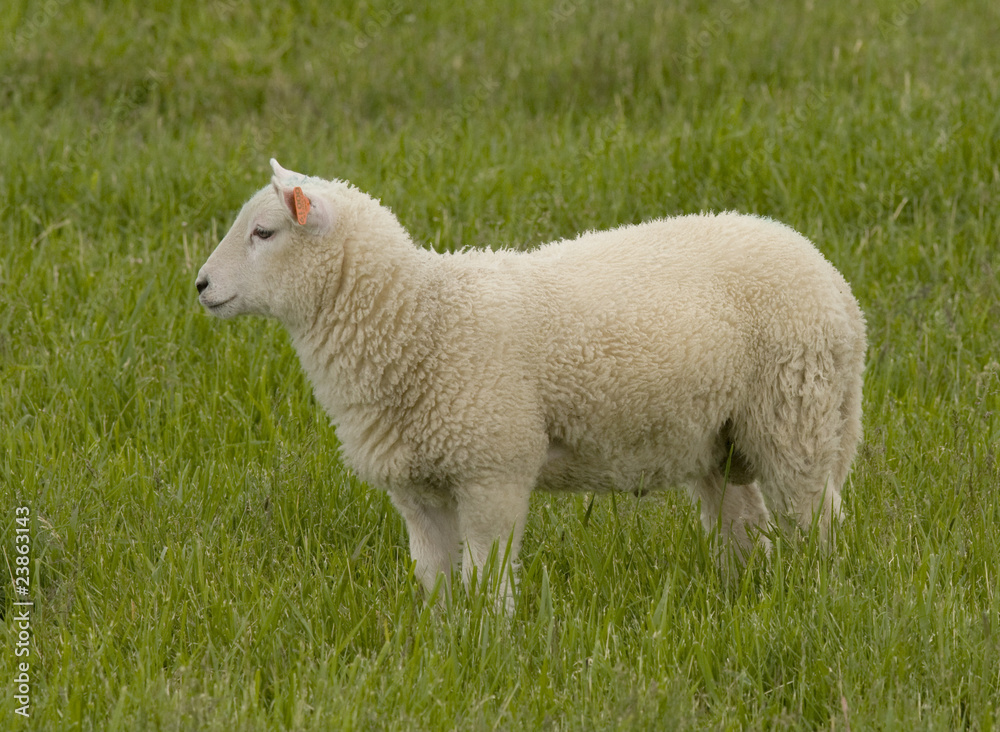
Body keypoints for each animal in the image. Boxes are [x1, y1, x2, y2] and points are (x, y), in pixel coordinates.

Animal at [196, 159, 866, 612]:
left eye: (263, 233)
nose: (200, 285)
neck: (420, 318)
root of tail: (838, 286)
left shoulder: (493, 467)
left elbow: (487, 576)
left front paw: (491, 645)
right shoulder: (416, 489)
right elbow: (435, 579)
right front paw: (444, 644)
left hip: (796, 412)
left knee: (817, 520)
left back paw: (821, 597)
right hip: (718, 437)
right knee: (746, 526)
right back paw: (745, 599)